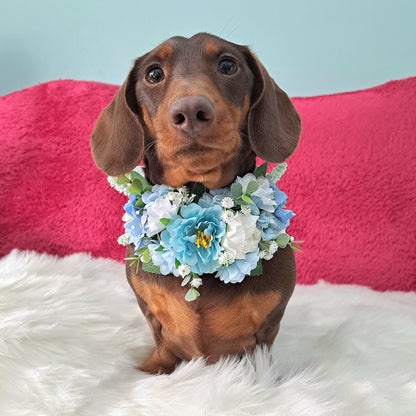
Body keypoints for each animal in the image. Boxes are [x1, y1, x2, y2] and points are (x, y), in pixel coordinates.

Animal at [91, 32, 300, 376]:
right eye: (153, 74)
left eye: (228, 65)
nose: (190, 111)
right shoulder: (152, 315)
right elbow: (161, 340)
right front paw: (149, 369)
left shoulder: (268, 324)